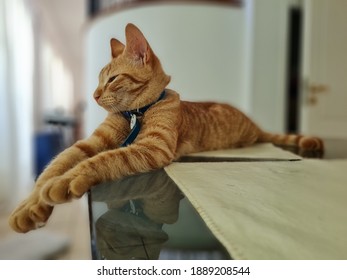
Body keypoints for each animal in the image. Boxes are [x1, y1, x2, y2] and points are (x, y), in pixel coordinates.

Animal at [7, 23, 324, 232]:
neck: (135, 114)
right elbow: (54, 166)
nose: (93, 95)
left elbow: (102, 160)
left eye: (111, 79)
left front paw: (65, 182)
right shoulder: (89, 143)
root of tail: (253, 124)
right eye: (98, 81)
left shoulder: (152, 147)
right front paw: (29, 205)